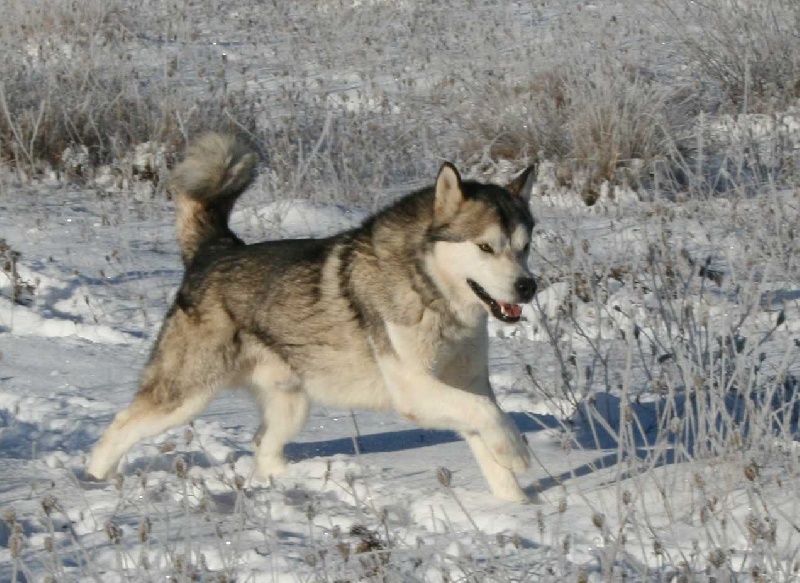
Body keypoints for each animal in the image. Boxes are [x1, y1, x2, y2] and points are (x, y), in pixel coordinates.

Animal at [87, 132, 536, 502]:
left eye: (525, 246)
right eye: (485, 247)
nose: (528, 286)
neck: (434, 293)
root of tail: (215, 250)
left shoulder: (466, 381)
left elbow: (486, 430)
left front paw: (516, 508)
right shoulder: (413, 389)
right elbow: (488, 414)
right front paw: (519, 451)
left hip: (291, 403)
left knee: (264, 448)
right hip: (186, 393)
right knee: (120, 426)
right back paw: (92, 482)